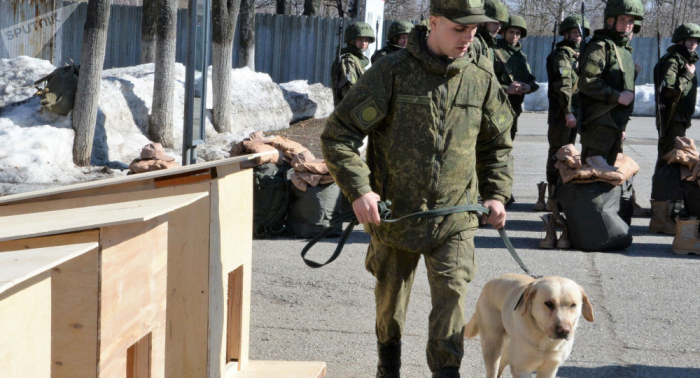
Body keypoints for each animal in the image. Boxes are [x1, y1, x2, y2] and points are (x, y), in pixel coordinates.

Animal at [462, 274, 592, 378]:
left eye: (573, 305)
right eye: (549, 303)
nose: (564, 331)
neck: (545, 342)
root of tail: (492, 281)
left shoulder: (549, 370)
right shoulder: (520, 369)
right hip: (492, 346)